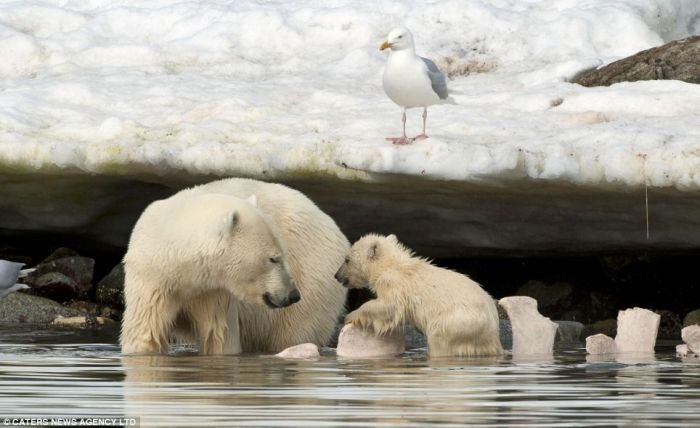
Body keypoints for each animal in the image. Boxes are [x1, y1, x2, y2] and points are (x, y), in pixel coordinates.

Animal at [123, 177, 350, 354]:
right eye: (273, 258)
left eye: (282, 254)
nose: (293, 294)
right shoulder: (151, 280)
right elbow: (145, 335)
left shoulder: (215, 292)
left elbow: (219, 337)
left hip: (314, 279)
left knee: (294, 333)